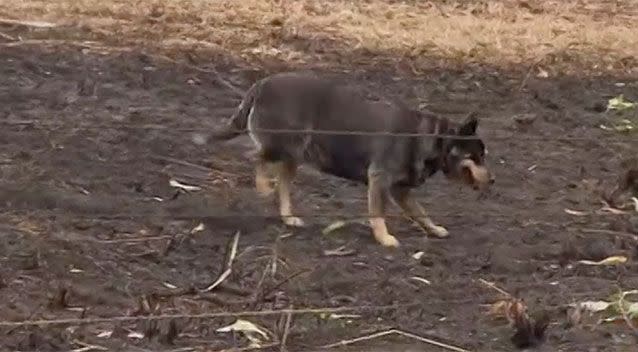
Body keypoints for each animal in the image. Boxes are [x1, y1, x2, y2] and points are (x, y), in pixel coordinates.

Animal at [215, 71, 496, 248]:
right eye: (474, 156)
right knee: (254, 157)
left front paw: (434, 229)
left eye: (483, 156)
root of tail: (261, 85)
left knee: (281, 185)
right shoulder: (380, 179)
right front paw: (384, 238)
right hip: (282, 145)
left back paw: (288, 217)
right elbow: (378, 213)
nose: (493, 180)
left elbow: (420, 213)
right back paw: (262, 186)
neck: (433, 138)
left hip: (293, 156)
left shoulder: (401, 190)